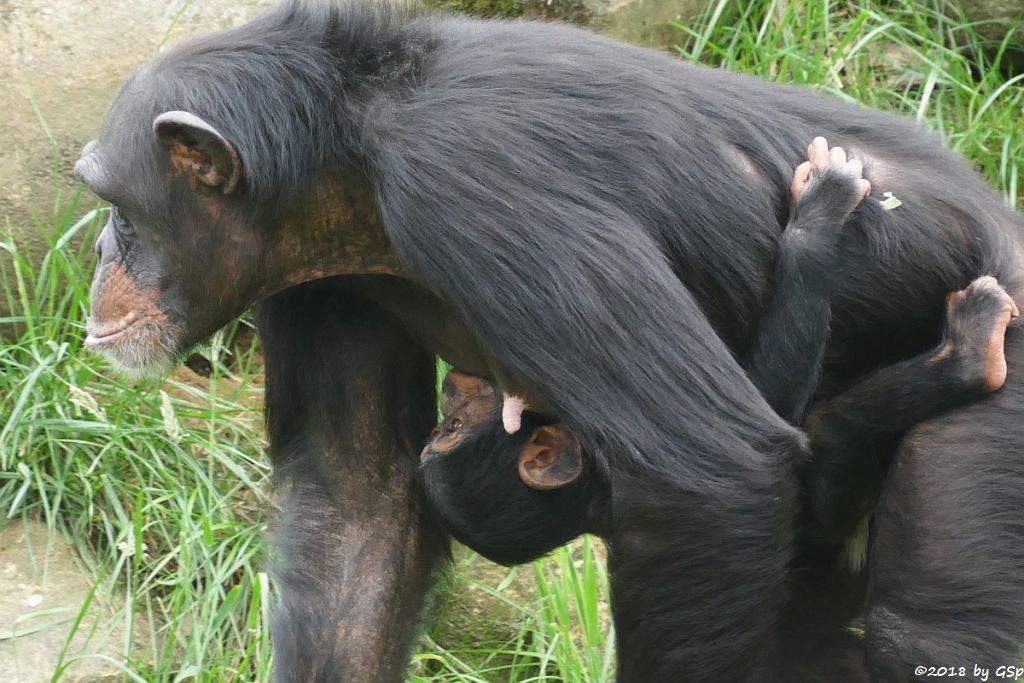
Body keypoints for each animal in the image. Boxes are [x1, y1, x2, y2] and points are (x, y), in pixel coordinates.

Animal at [417, 139, 1015, 565]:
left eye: (448, 427)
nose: (451, 390)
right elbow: (764, 415)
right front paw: (817, 217)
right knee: (828, 427)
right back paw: (969, 352)